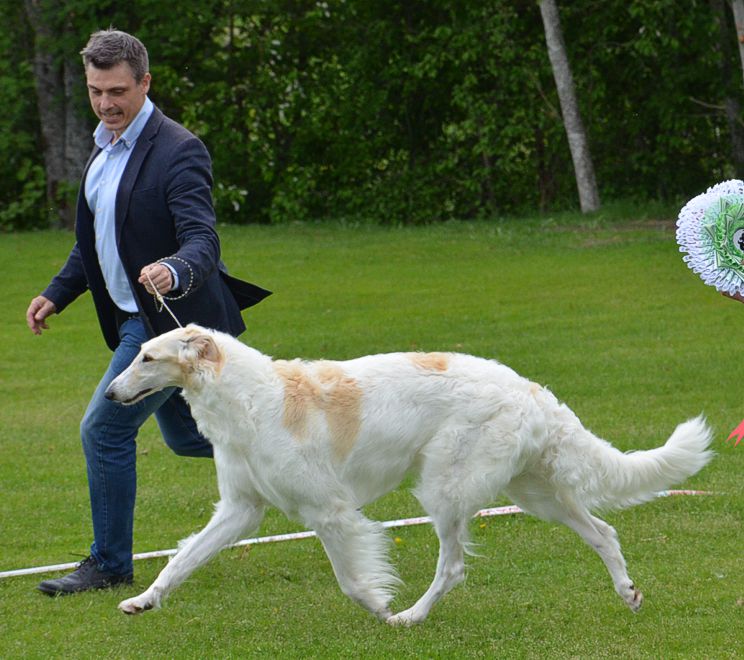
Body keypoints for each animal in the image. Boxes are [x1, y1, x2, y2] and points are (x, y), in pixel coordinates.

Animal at [101, 324, 712, 624]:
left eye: (148, 357)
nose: (109, 394)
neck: (249, 397)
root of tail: (530, 389)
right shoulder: (240, 510)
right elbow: (181, 560)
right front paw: (143, 601)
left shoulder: (329, 512)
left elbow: (352, 580)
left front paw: (380, 606)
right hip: (532, 491)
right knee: (604, 532)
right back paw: (628, 592)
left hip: (445, 489)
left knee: (454, 568)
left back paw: (412, 617)